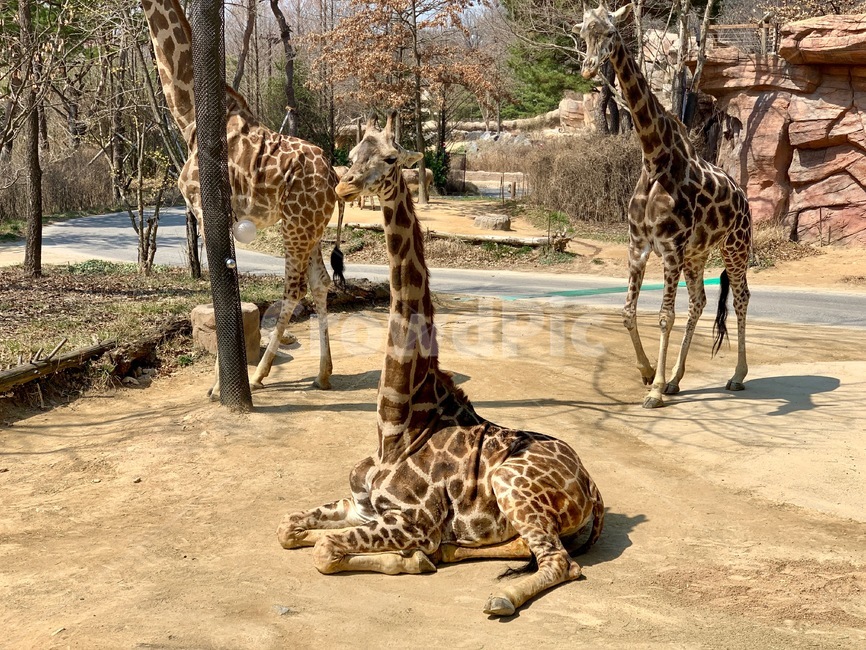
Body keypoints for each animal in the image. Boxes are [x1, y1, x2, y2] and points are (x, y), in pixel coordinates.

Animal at [140, 0, 341, 397]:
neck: (188, 118)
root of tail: (333, 176)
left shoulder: (206, 208)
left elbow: (221, 290)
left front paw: (219, 387)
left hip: (295, 224)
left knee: (295, 287)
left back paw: (261, 373)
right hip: (311, 225)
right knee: (320, 283)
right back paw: (323, 374)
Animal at [277, 112, 604, 617]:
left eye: (392, 158)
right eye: (351, 155)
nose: (345, 186)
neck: (395, 429)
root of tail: (591, 484)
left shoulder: (413, 520)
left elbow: (327, 549)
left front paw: (410, 558)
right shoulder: (360, 503)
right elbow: (289, 526)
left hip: (511, 485)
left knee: (560, 561)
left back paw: (499, 596)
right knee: (524, 547)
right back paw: (449, 554)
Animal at [574, 3, 752, 409]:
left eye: (611, 33)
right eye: (583, 33)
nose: (589, 69)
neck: (655, 159)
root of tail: (744, 197)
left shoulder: (669, 248)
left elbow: (664, 316)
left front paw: (653, 390)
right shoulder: (638, 246)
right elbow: (628, 312)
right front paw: (647, 374)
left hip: (735, 246)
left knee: (741, 298)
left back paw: (737, 375)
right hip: (697, 253)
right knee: (700, 301)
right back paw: (675, 379)